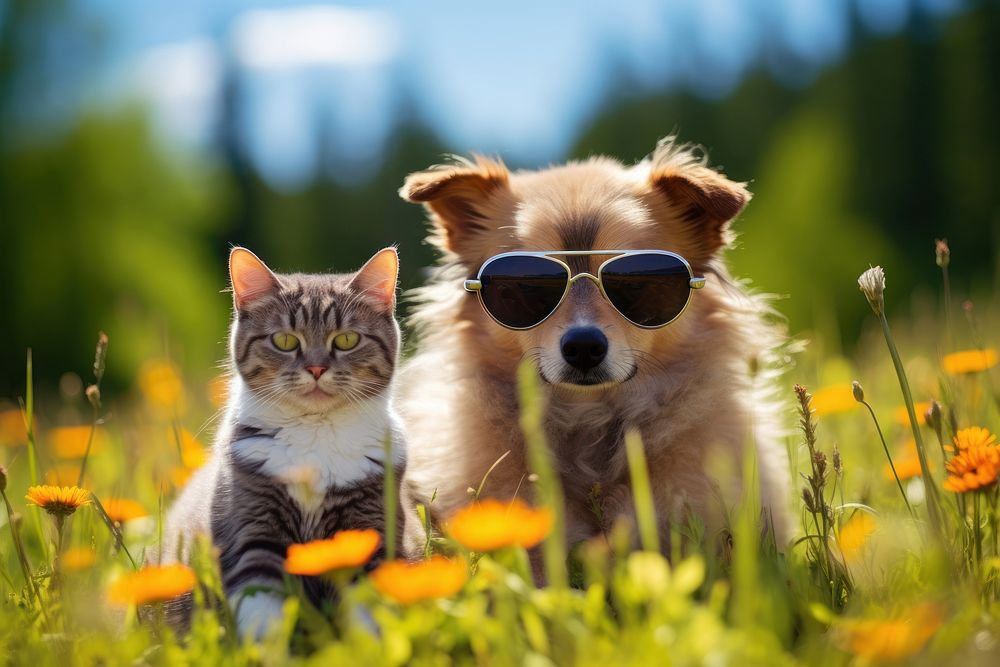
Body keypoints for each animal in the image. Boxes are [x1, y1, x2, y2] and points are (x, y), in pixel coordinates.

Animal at [162, 248, 404, 640]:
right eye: (286, 341)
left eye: (347, 340)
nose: (317, 369)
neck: (314, 434)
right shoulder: (253, 529)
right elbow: (261, 608)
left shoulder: (369, 528)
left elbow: (369, 608)